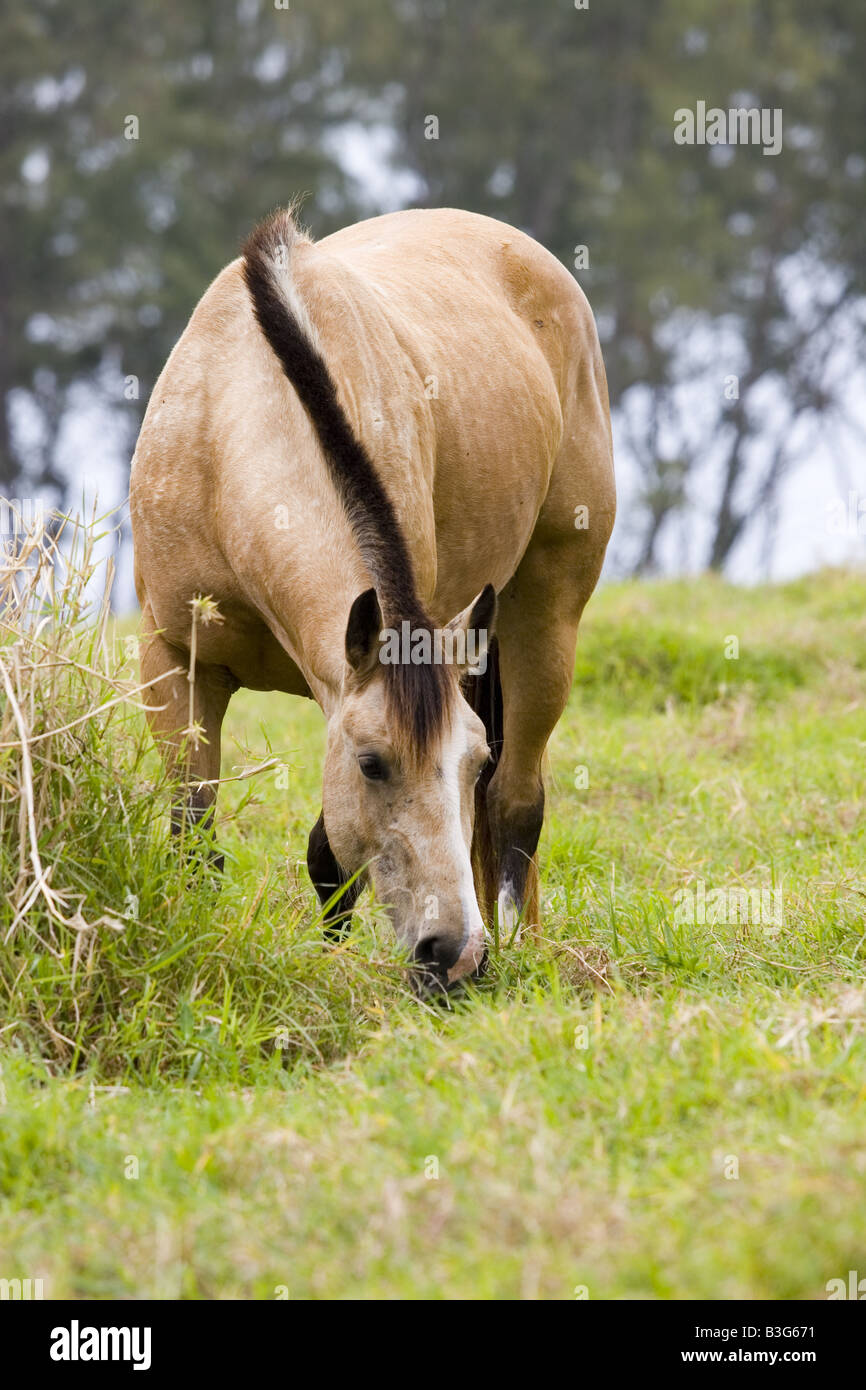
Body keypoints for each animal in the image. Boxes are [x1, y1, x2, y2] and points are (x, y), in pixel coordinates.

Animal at [130, 201, 617, 995]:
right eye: (372, 764)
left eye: (469, 761)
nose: (456, 954)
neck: (234, 416)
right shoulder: (175, 659)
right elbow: (193, 839)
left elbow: (331, 858)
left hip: (546, 614)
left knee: (517, 804)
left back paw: (523, 942)